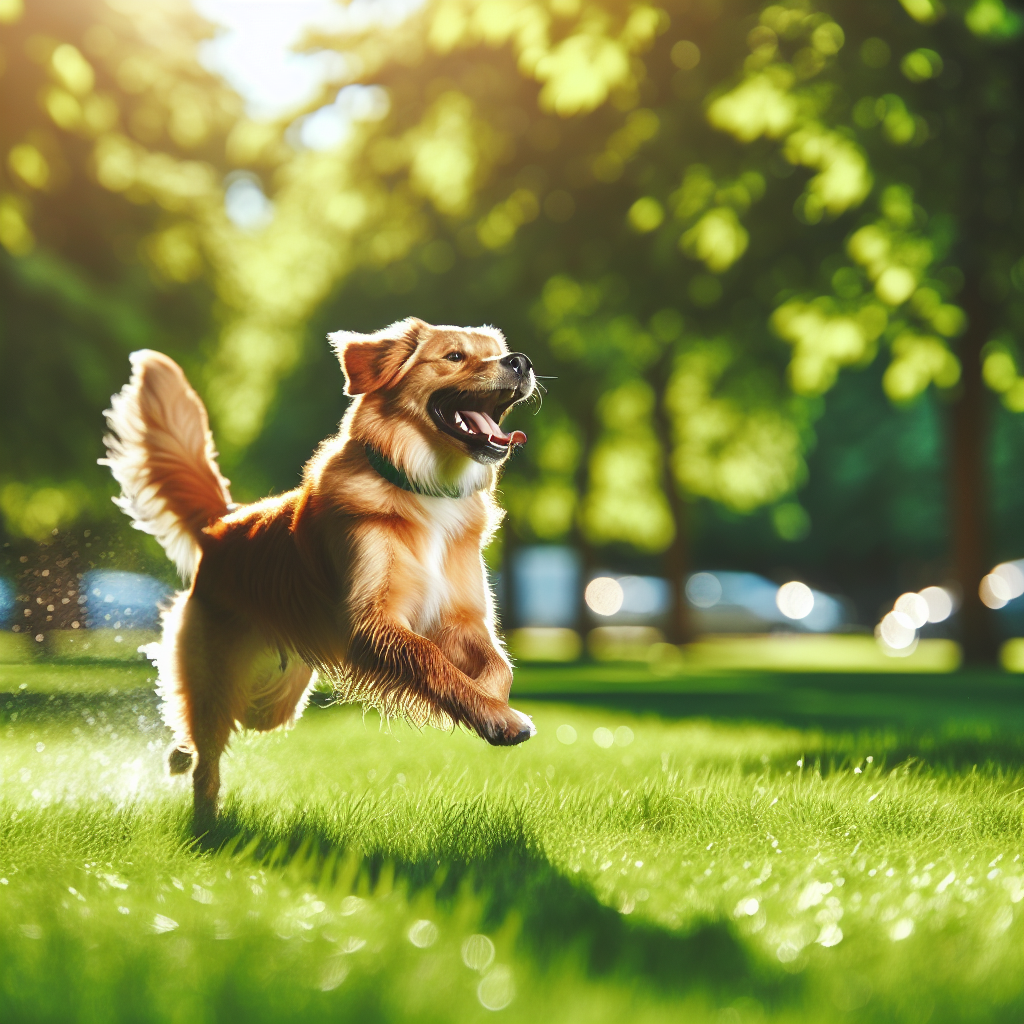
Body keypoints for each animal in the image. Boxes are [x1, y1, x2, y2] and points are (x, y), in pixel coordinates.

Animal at [100, 319, 540, 823]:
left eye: (499, 351)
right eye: (454, 356)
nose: (522, 362)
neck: (423, 487)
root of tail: (223, 523)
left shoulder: (463, 619)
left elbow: (498, 667)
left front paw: (491, 704)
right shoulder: (369, 622)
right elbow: (430, 658)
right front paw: (495, 714)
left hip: (276, 696)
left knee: (229, 722)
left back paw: (180, 755)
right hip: (219, 677)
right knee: (206, 750)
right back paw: (203, 814)